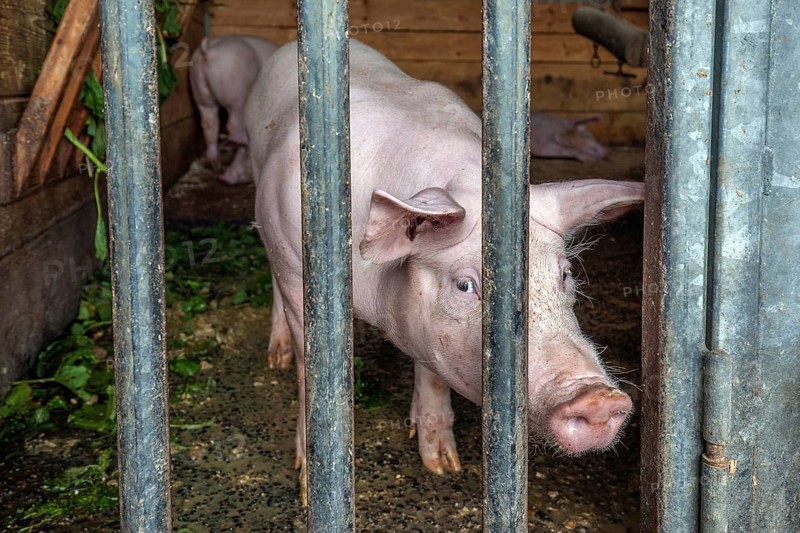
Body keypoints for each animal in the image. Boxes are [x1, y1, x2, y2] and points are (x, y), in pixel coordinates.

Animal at [189, 35, 278, 185]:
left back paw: (216, 165)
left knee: (209, 125)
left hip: (201, 96)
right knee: (232, 125)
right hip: (235, 97)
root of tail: (207, 51)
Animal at [246, 39, 643, 501]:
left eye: (564, 274)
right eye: (465, 285)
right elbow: (309, 370)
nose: (598, 399)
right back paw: (275, 356)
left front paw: (442, 466)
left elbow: (433, 374)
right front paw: (308, 487)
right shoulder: (296, 266)